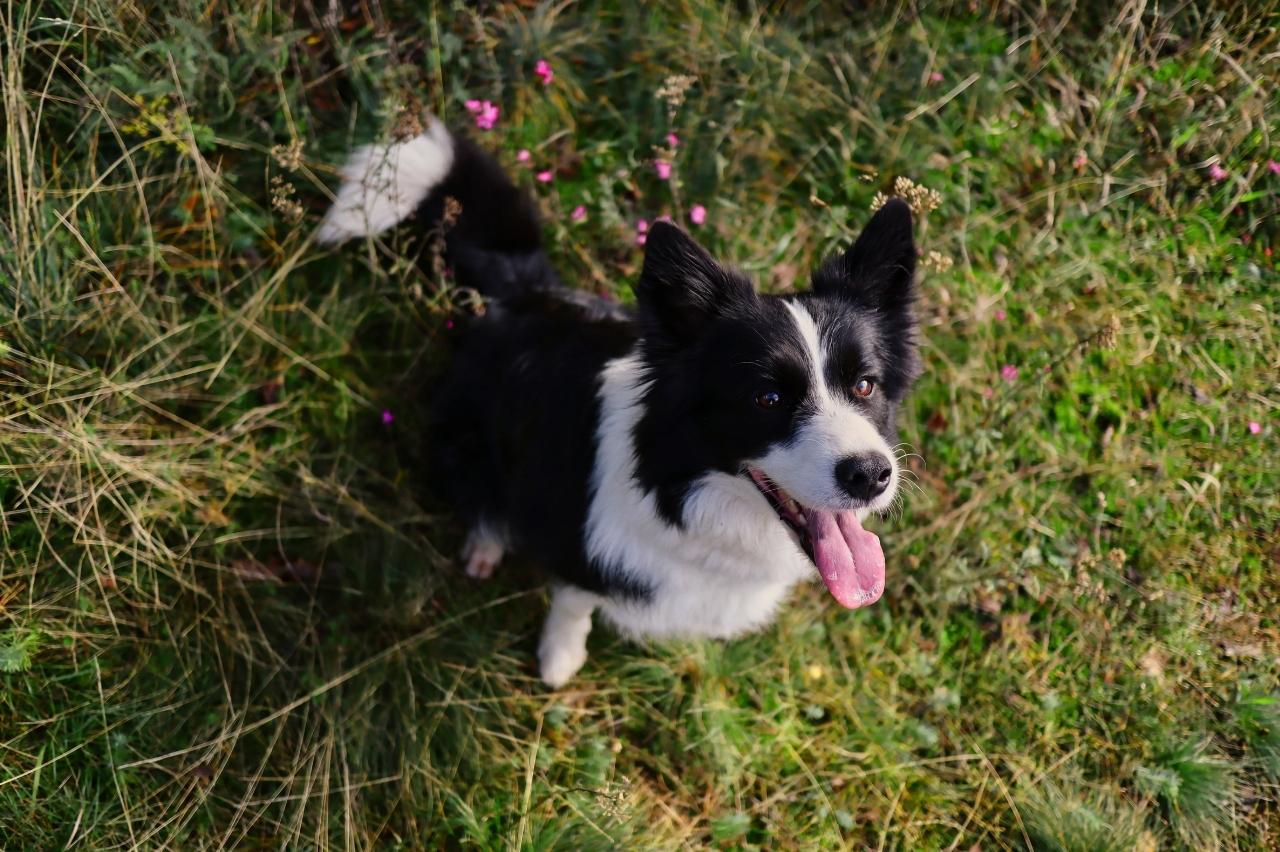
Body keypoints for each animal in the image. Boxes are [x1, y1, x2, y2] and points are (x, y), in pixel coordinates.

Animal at [320, 116, 921, 685]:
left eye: (864, 385)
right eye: (768, 397)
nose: (871, 475)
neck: (680, 497)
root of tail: (524, 291)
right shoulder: (578, 540)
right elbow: (574, 599)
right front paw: (559, 658)